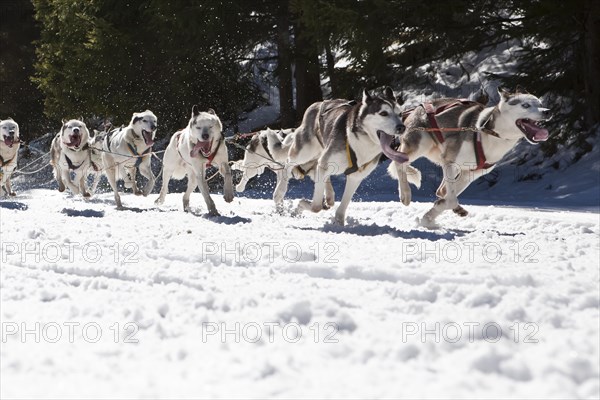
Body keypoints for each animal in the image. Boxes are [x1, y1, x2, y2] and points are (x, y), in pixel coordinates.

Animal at [286, 87, 408, 225]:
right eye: (383, 113)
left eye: (400, 114)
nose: (401, 127)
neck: (362, 141)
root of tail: (317, 104)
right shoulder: (326, 163)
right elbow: (316, 207)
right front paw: (300, 204)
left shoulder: (356, 176)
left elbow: (343, 205)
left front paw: (339, 222)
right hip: (303, 153)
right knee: (288, 164)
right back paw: (279, 195)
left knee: (320, 171)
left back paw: (329, 196)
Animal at [386, 87, 552, 227]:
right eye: (526, 105)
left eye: (540, 103)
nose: (547, 111)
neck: (490, 133)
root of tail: (419, 106)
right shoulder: (450, 163)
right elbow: (451, 198)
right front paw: (442, 211)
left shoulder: (470, 173)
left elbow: (446, 196)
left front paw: (429, 217)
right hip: (420, 145)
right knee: (399, 163)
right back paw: (405, 194)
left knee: (440, 189)